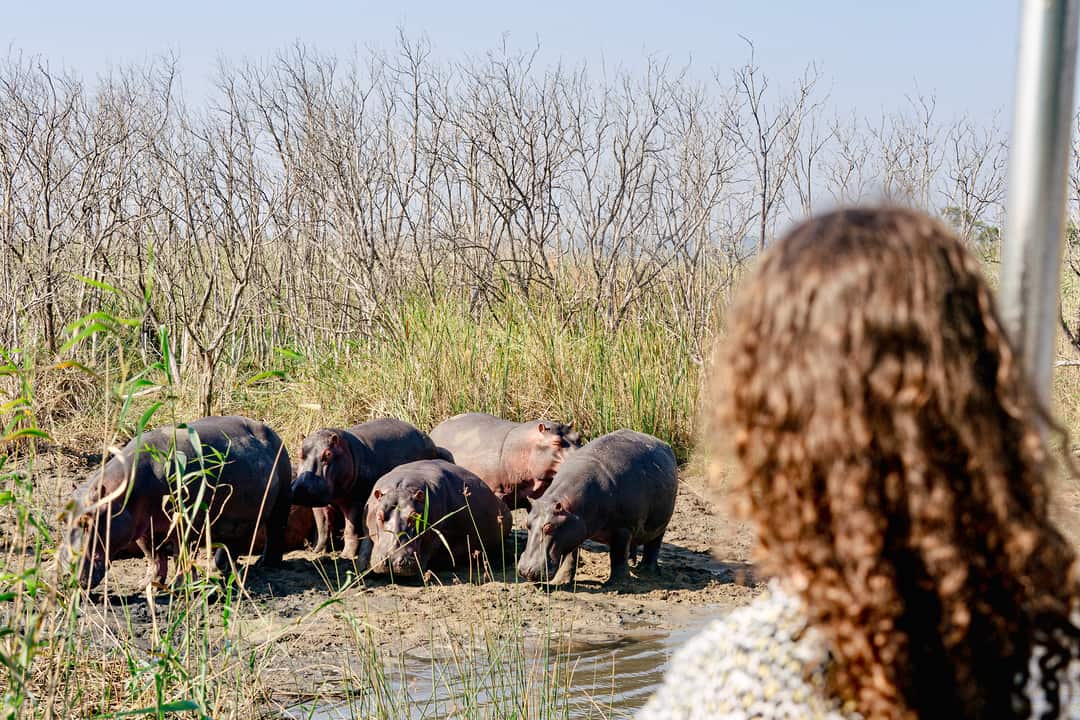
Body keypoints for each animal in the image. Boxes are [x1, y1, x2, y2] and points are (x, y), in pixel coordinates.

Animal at [62, 415, 292, 589]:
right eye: (64, 520)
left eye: (87, 522)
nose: (66, 575)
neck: (120, 494)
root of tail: (271, 432)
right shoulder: (143, 527)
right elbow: (153, 556)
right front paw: (147, 584)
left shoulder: (185, 521)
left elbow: (181, 553)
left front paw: (180, 586)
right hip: (240, 516)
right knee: (235, 541)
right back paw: (221, 568)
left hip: (281, 498)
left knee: (276, 530)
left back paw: (266, 564)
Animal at [291, 418, 449, 561]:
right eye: (299, 453)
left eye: (328, 454)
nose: (301, 487)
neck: (346, 450)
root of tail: (427, 437)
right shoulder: (318, 502)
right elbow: (323, 526)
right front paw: (317, 552)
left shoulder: (355, 502)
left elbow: (350, 529)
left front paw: (346, 556)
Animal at [366, 459, 512, 577]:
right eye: (379, 516)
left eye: (415, 517)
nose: (393, 560)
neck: (402, 489)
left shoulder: (435, 534)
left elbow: (428, 548)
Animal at [517, 429, 677, 585]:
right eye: (527, 524)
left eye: (549, 527)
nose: (525, 571)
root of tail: (663, 444)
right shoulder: (573, 529)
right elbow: (569, 557)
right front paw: (561, 581)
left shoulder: (622, 528)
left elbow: (617, 555)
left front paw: (617, 584)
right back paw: (634, 563)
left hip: (661, 524)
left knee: (653, 545)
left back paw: (647, 571)